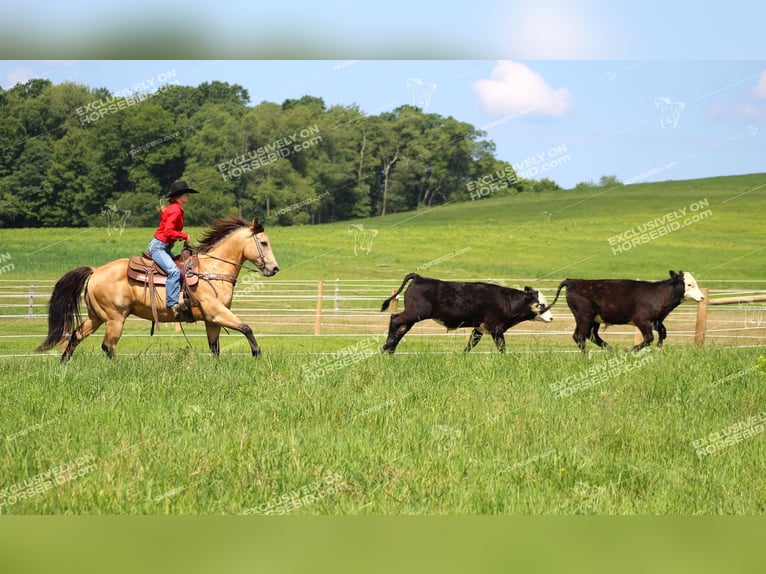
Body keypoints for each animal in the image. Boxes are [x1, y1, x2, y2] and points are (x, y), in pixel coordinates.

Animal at [36, 218, 282, 362]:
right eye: (264, 242)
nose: (274, 268)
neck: (213, 269)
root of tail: (96, 271)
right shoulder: (215, 312)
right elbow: (246, 328)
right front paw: (257, 355)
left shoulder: (212, 319)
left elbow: (215, 348)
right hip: (115, 318)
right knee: (108, 346)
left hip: (96, 316)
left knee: (76, 335)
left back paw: (64, 364)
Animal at [380, 272, 552, 354]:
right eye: (541, 304)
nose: (551, 317)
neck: (507, 301)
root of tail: (419, 277)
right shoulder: (496, 328)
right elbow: (502, 347)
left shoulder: (479, 328)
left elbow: (470, 345)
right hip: (415, 313)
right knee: (394, 319)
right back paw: (386, 346)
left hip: (413, 317)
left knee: (401, 330)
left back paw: (390, 350)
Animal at [544, 270, 708, 352]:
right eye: (689, 284)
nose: (702, 297)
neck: (659, 294)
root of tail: (573, 281)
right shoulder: (642, 320)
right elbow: (649, 338)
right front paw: (632, 349)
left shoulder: (656, 321)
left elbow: (663, 333)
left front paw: (659, 348)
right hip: (584, 316)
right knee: (579, 336)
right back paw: (588, 356)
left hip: (595, 319)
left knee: (591, 335)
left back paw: (610, 349)